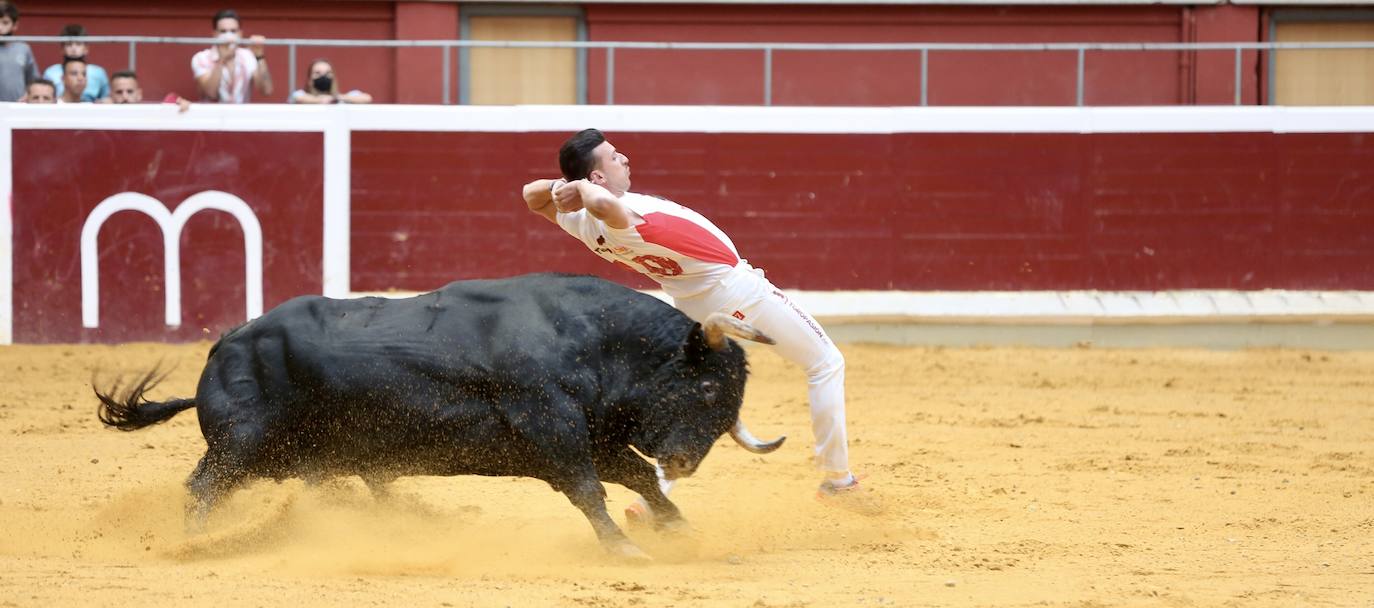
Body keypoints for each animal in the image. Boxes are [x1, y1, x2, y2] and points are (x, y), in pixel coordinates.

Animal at [94, 273, 785, 559]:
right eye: (705, 387)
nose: (685, 461)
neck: (589, 338)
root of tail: (225, 345)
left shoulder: (591, 435)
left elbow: (636, 477)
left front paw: (679, 528)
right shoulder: (553, 428)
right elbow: (589, 489)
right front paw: (622, 546)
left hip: (306, 456)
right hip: (241, 445)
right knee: (201, 488)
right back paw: (194, 543)